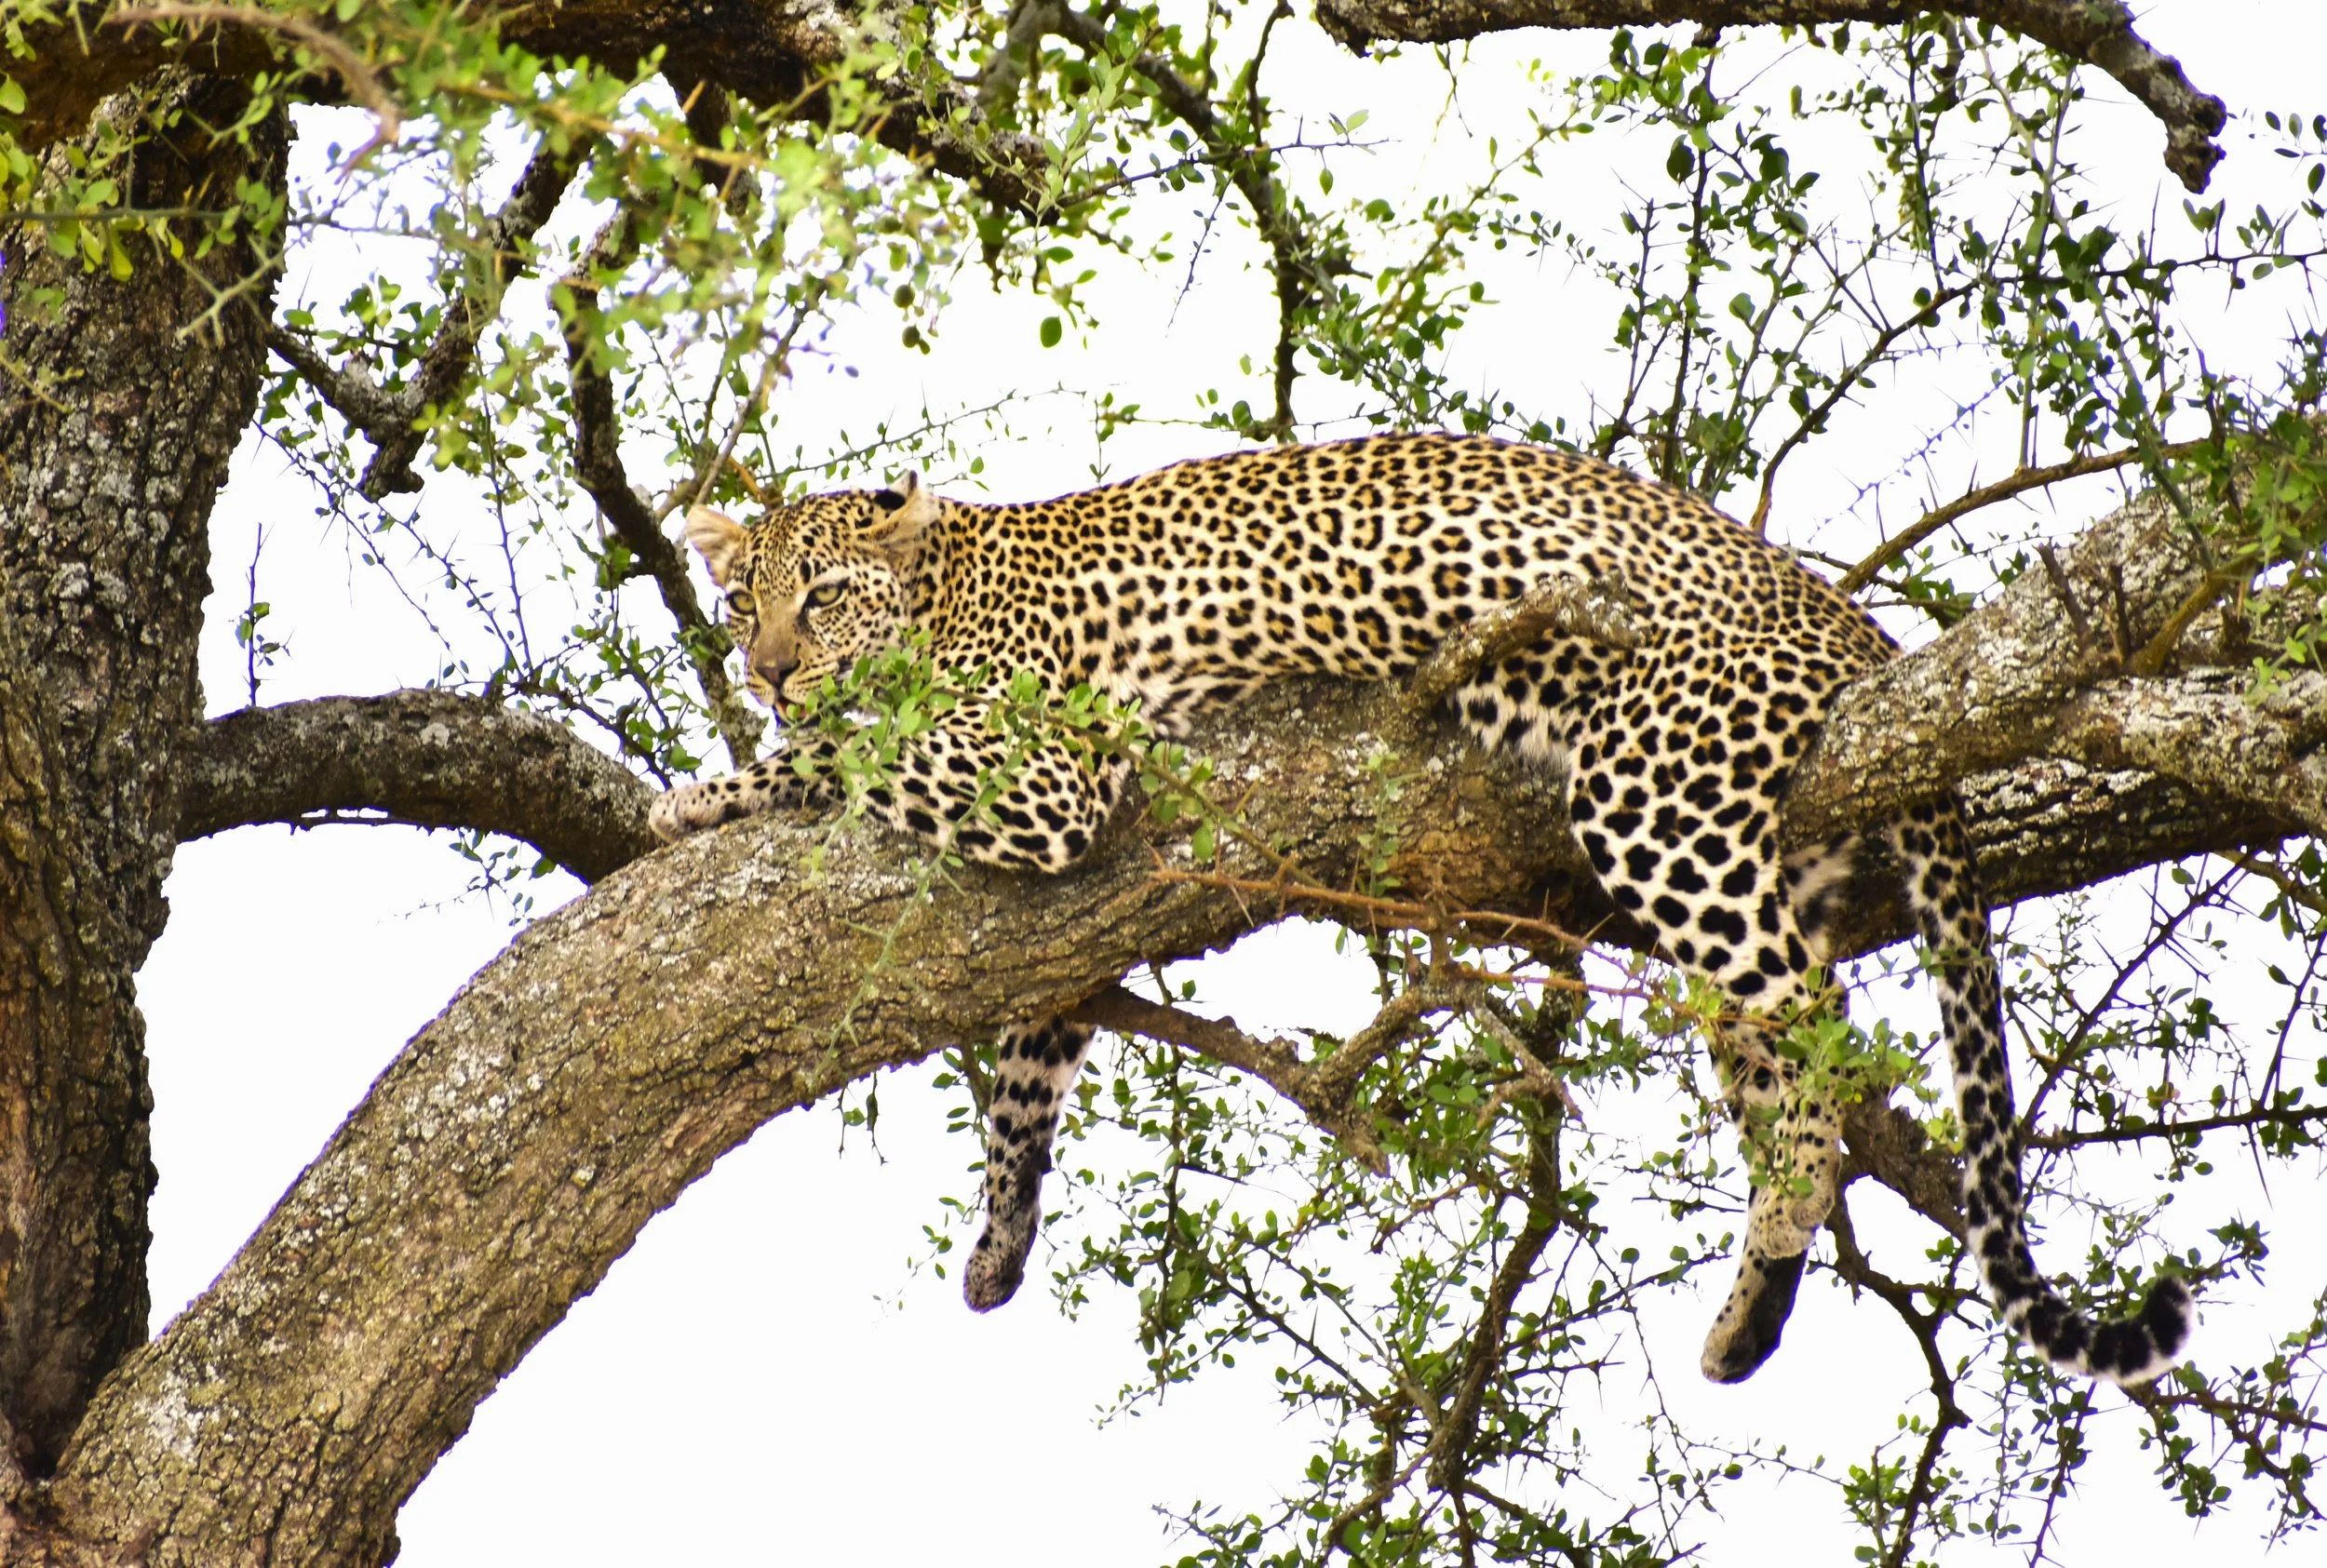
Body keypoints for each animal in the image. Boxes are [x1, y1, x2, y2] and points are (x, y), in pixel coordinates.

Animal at [649, 432, 2193, 1386]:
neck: (943, 585)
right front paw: (1000, 1239)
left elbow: (850, 753)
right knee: (1769, 1039)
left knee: (1819, 1030)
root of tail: (1865, 633)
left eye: (823, 596)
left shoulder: (1047, 773)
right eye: (740, 602)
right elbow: (1033, 1060)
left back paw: (1772, 1247)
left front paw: (710, 786)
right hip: (1734, 857)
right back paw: (1752, 1303)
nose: (769, 668)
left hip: (1656, 788)